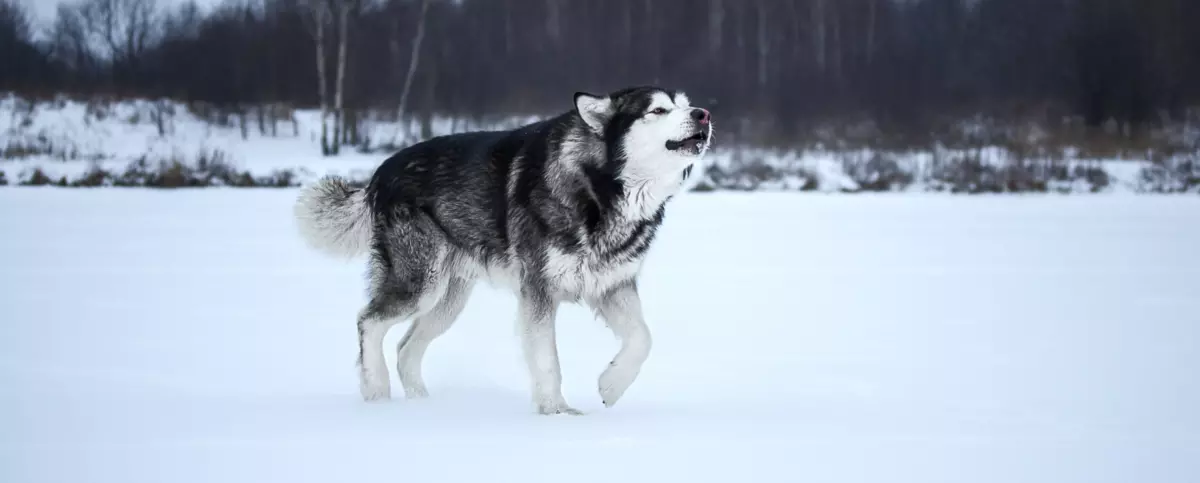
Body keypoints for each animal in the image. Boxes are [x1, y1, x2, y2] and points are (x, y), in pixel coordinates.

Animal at [292, 86, 710, 415]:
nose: (703, 114)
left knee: (407, 347)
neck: (600, 187)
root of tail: (378, 175)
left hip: (447, 301)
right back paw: (376, 392)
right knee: (368, 321)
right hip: (420, 284)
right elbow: (547, 359)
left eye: (686, 104)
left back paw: (423, 407)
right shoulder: (538, 291)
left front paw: (611, 384)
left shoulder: (613, 285)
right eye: (658, 110)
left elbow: (643, 339)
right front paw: (556, 413)